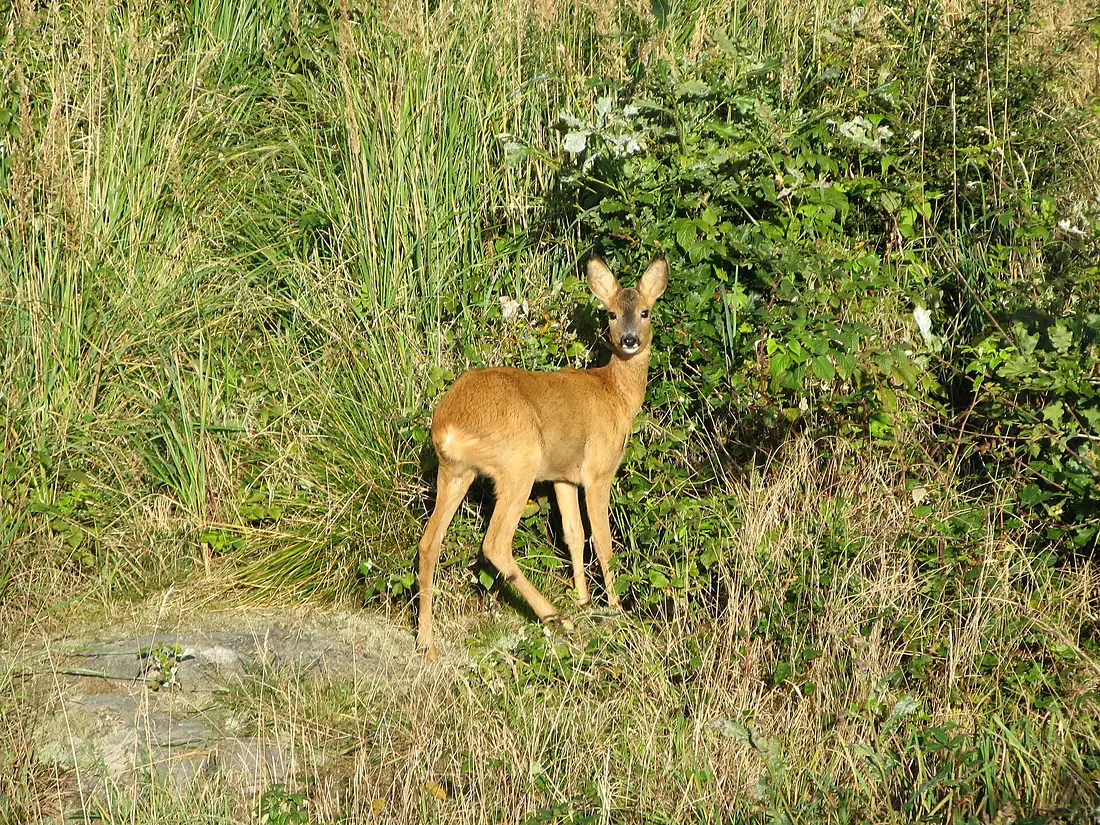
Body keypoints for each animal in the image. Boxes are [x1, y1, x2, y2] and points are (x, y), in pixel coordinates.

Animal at [415, 255, 669, 660]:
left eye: (645, 311)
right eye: (612, 313)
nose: (630, 340)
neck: (615, 395)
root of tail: (448, 425)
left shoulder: (562, 476)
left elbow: (574, 534)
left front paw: (583, 600)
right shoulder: (598, 469)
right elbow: (602, 540)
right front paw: (614, 609)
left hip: (455, 471)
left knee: (429, 542)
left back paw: (427, 642)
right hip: (518, 461)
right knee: (494, 543)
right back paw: (556, 618)